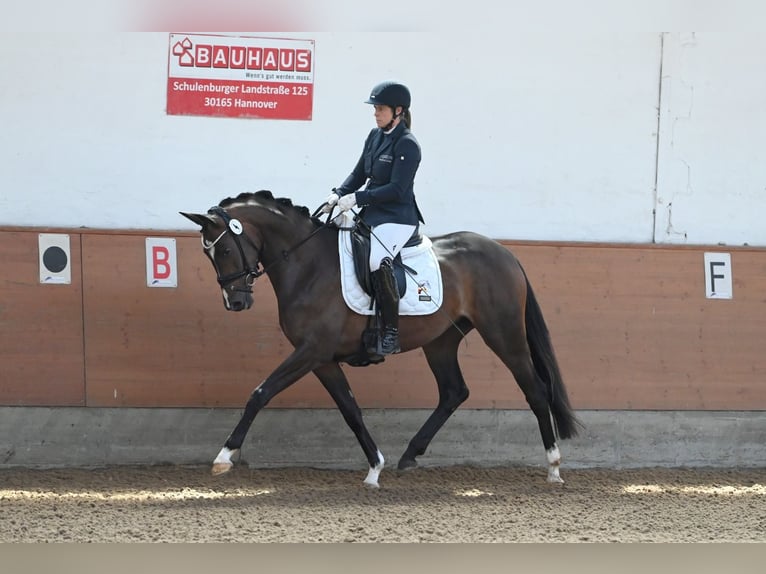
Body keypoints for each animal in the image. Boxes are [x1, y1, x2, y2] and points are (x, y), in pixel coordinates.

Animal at [183, 191, 584, 488]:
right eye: (207, 253)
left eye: (225, 249)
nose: (236, 302)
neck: (308, 264)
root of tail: (506, 253)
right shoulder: (322, 359)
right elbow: (350, 409)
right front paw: (375, 467)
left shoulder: (311, 351)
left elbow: (261, 392)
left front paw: (224, 457)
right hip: (441, 341)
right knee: (454, 392)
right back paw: (410, 455)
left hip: (504, 334)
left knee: (535, 389)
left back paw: (553, 467)